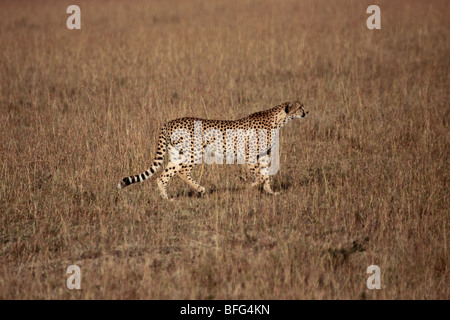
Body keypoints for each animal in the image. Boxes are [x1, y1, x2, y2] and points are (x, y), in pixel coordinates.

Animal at [116, 101, 308, 199]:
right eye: (300, 107)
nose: (307, 112)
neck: (278, 120)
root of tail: (168, 122)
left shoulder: (262, 155)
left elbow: (266, 175)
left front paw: (271, 192)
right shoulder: (249, 154)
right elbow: (261, 175)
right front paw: (250, 187)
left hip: (176, 155)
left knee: (163, 176)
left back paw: (167, 198)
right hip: (193, 153)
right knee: (182, 172)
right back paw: (200, 189)